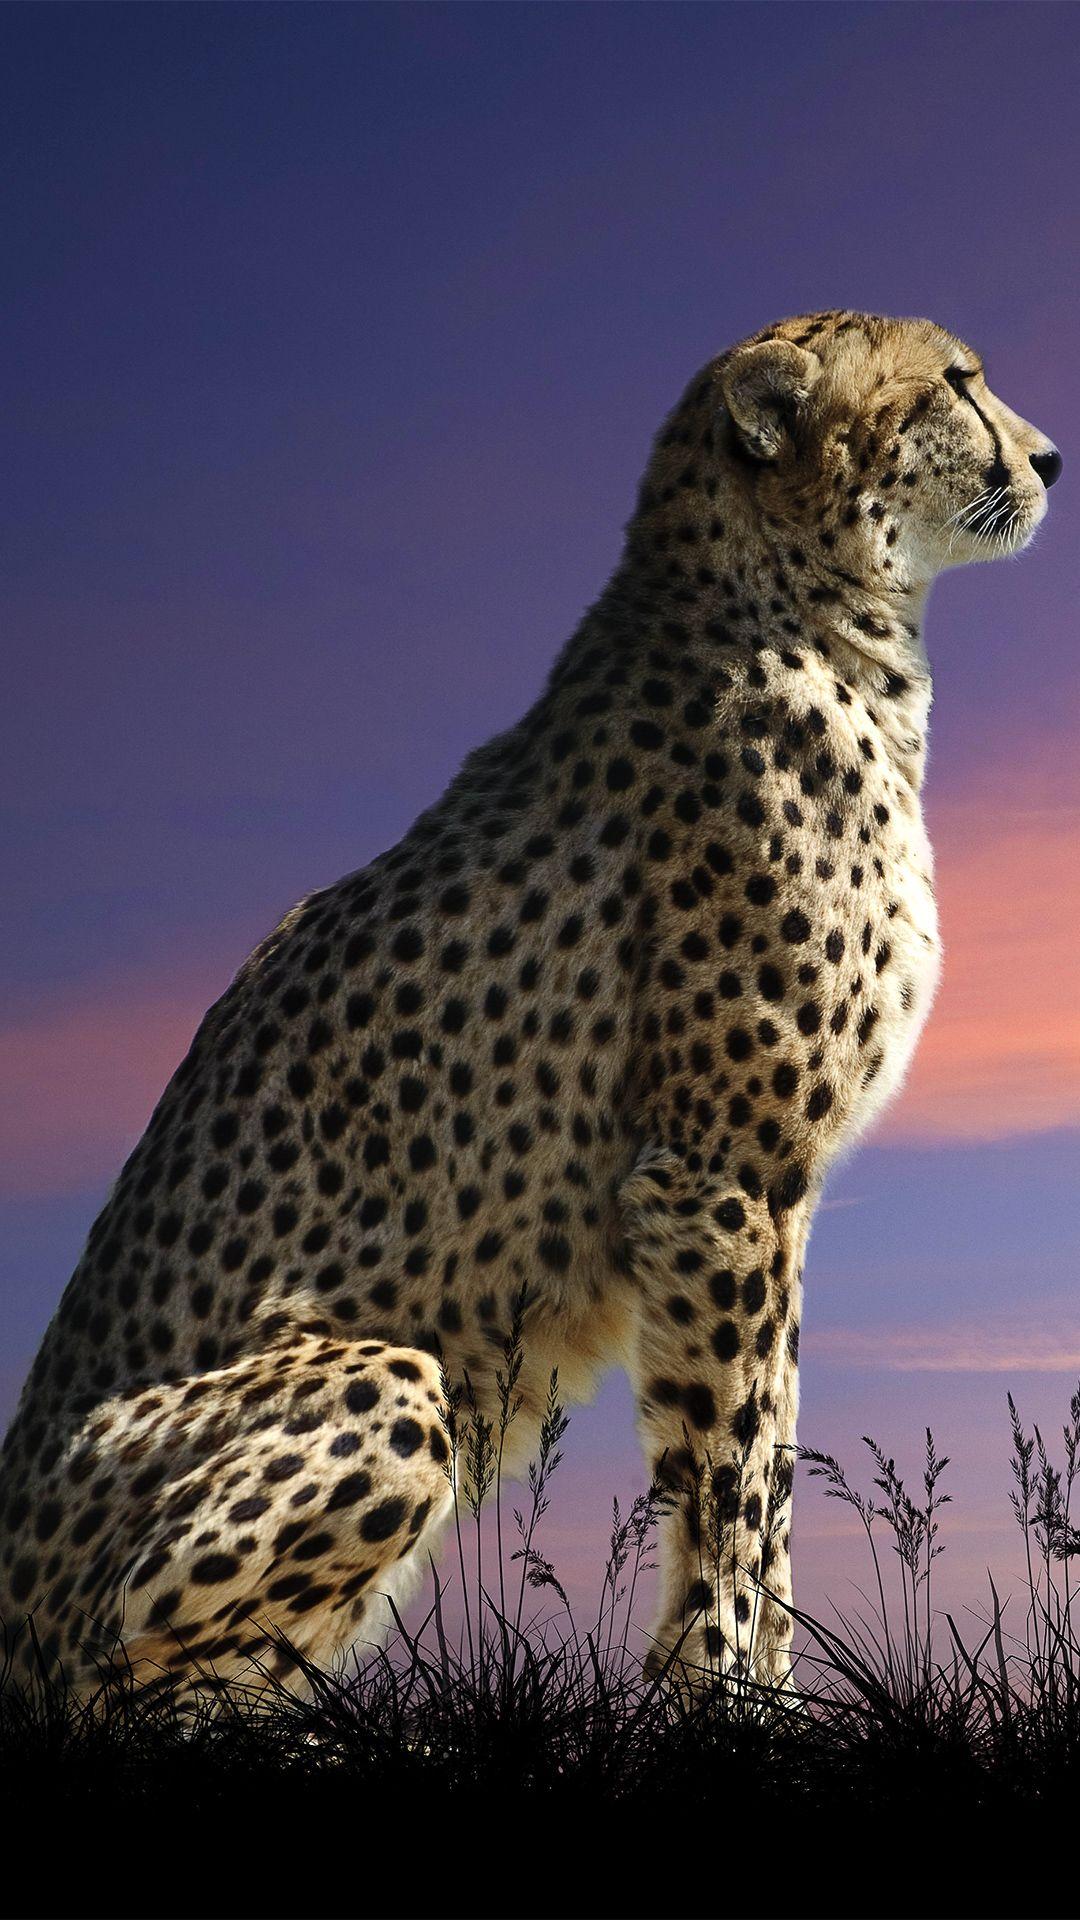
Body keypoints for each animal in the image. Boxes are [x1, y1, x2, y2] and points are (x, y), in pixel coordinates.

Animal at [0, 310, 1060, 1699]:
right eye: (957, 382)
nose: (1052, 459)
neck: (823, 618)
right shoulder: (720, 1171)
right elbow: (732, 1470)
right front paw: (729, 1692)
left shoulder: (758, 1190)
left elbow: (764, 1459)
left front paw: (766, 1681)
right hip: (393, 1385)